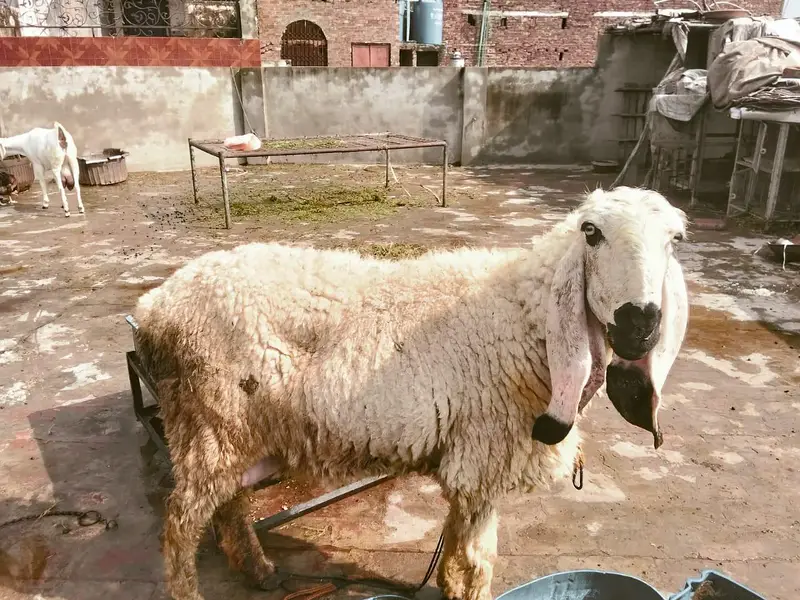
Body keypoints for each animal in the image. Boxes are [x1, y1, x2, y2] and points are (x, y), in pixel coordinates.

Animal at [132, 186, 690, 600]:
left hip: (229, 428)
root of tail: (156, 305)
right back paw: (193, 588)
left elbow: (458, 543)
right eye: (591, 233)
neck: (526, 320)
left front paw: (446, 582)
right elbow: (479, 560)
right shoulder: (484, 458)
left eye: (675, 240)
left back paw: (258, 570)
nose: (640, 323)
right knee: (180, 526)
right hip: (207, 420)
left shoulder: (470, 464)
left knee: (227, 505)